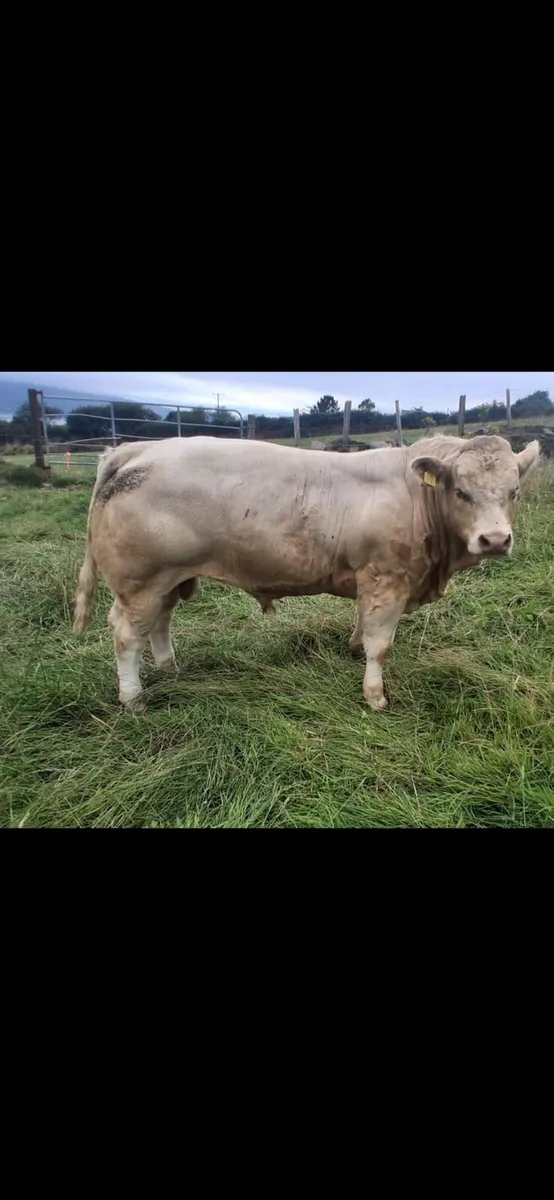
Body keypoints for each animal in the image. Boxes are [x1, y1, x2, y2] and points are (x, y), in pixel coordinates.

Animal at [73, 434, 540, 711]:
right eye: (460, 491)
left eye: (515, 491)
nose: (495, 540)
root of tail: (136, 448)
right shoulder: (388, 580)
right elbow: (381, 645)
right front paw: (375, 696)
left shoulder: (369, 580)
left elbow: (362, 625)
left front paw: (353, 647)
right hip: (140, 582)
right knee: (126, 636)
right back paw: (132, 699)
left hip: (168, 578)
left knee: (161, 621)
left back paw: (170, 668)